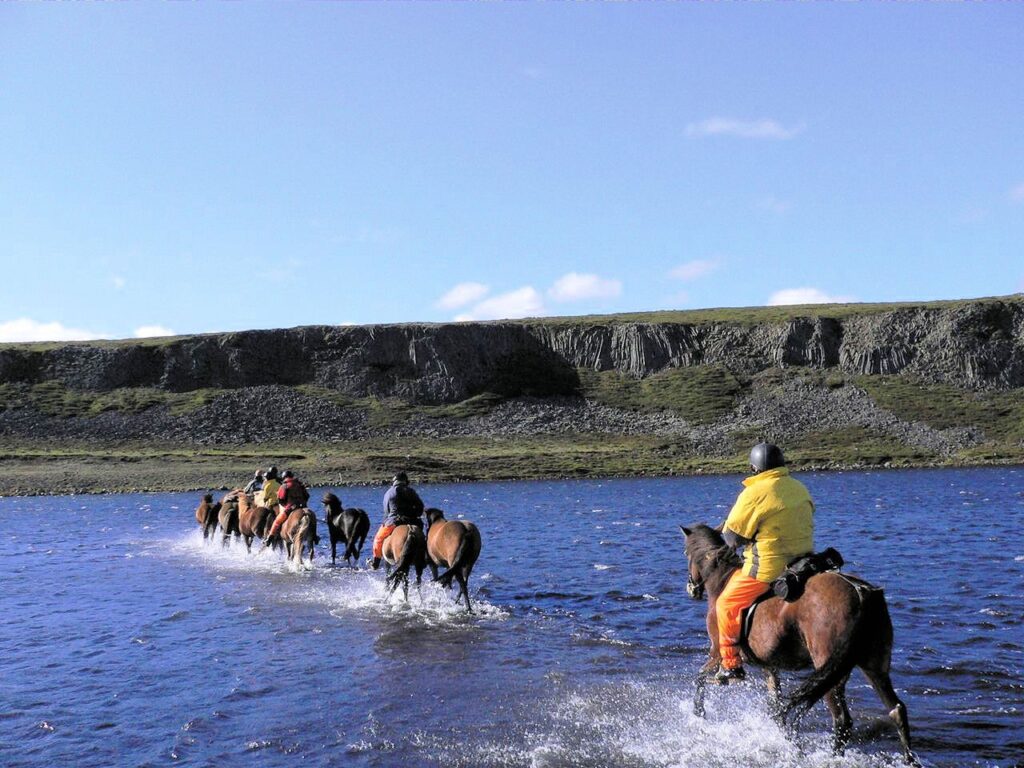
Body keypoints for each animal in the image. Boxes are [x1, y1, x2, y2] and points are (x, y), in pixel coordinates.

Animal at [679, 524, 913, 765]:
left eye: (686, 553)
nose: (692, 588)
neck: (722, 580)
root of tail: (861, 593)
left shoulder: (716, 653)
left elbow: (700, 678)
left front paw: (699, 712)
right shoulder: (769, 667)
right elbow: (776, 705)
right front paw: (789, 740)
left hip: (830, 670)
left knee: (842, 721)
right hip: (874, 665)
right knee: (896, 710)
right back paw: (910, 759)